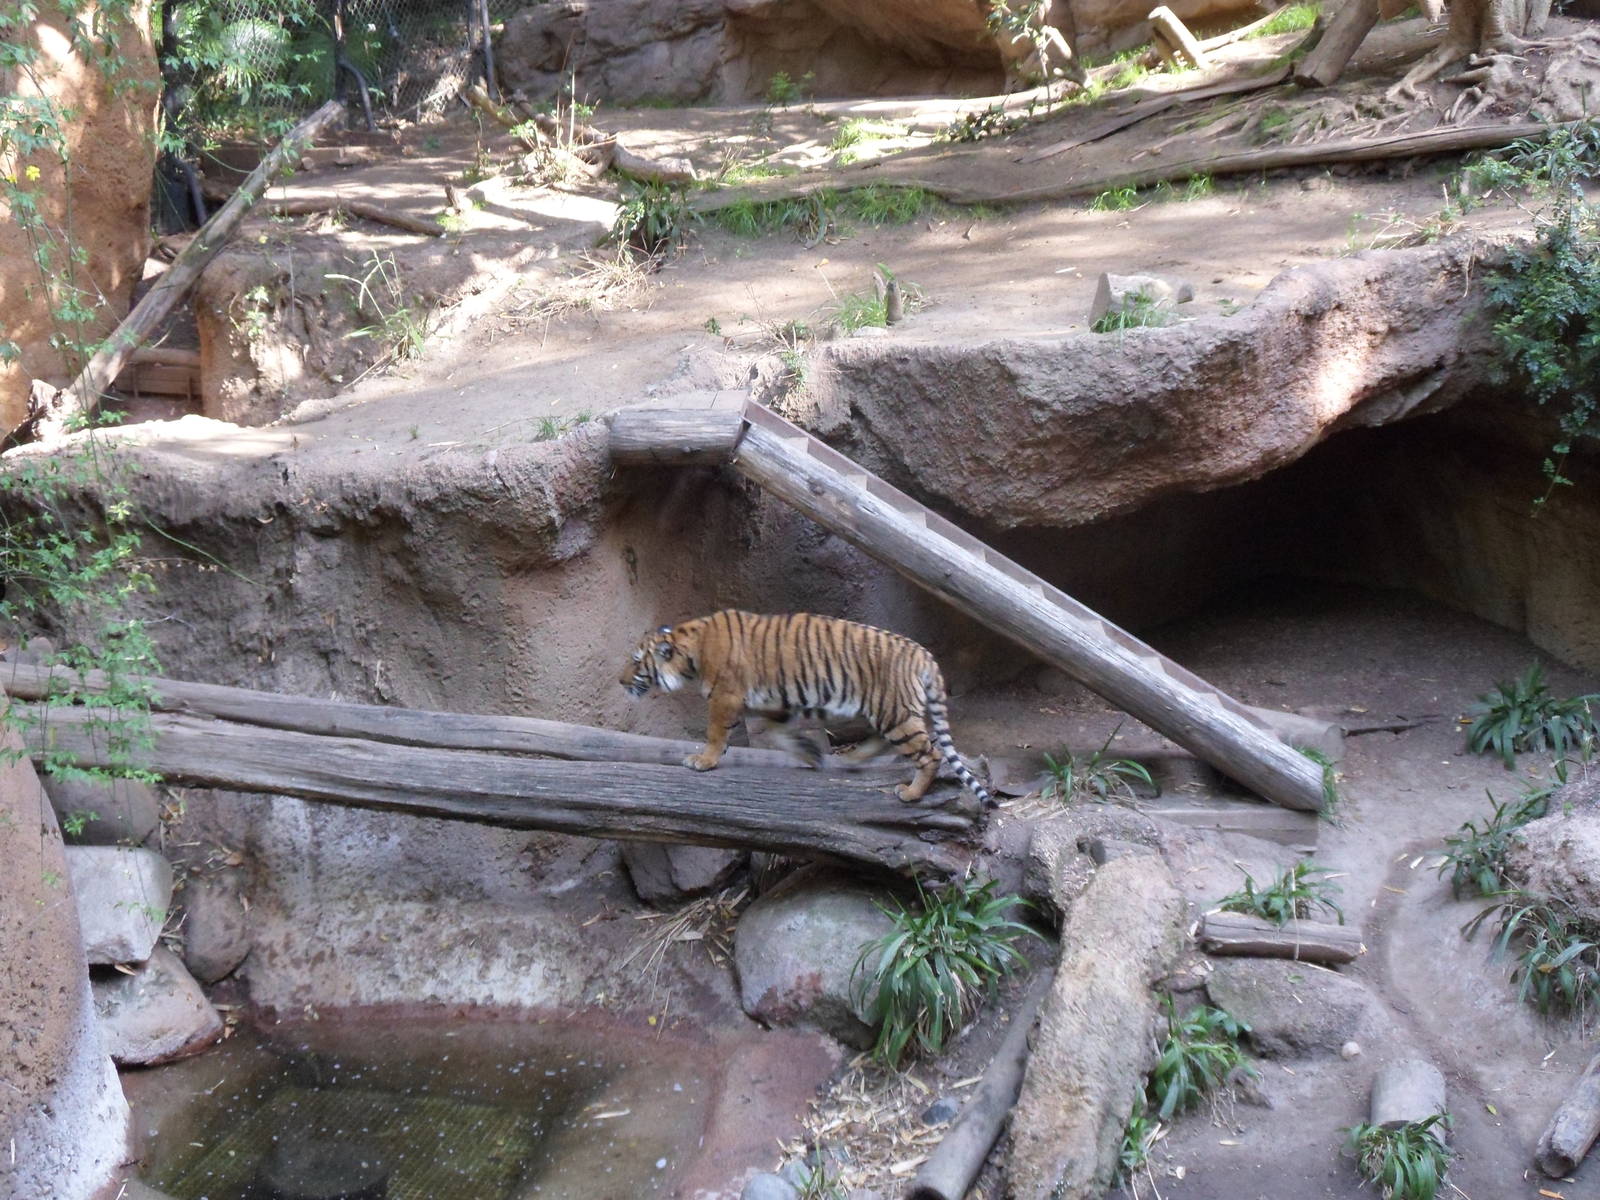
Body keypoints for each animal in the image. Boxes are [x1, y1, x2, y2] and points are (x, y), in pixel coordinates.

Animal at [619, 610, 994, 808]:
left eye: (636, 661)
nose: (620, 681)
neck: (691, 650)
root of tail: (923, 654)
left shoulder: (725, 697)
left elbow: (715, 733)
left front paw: (703, 761)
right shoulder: (773, 703)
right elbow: (778, 734)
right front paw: (811, 754)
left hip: (893, 711)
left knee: (930, 753)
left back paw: (911, 793)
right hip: (883, 710)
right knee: (889, 741)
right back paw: (853, 759)